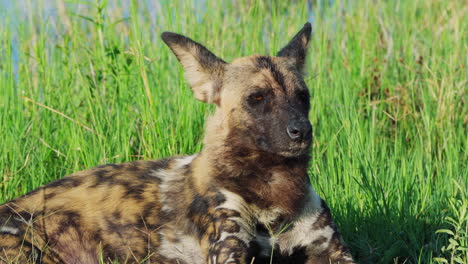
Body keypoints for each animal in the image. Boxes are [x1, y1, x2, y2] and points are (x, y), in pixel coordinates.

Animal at [0, 23, 352, 264]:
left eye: (303, 97)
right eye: (257, 98)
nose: (301, 130)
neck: (272, 192)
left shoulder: (334, 252)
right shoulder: (229, 251)